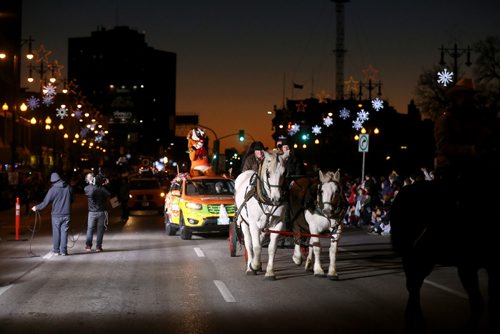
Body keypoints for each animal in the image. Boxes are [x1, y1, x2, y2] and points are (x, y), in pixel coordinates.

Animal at [236, 151, 288, 280]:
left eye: (284, 173)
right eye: (268, 173)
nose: (276, 199)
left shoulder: (278, 224)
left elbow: (272, 248)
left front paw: (270, 272)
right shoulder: (253, 224)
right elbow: (256, 247)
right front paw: (253, 265)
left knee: (260, 238)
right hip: (244, 222)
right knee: (249, 243)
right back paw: (251, 266)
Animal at [392, 180, 498, 334]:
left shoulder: (491, 268)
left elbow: (490, 304)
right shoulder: (467, 267)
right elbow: (477, 303)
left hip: (423, 260)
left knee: (415, 285)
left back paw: (416, 318)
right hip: (413, 257)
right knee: (413, 285)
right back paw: (413, 318)